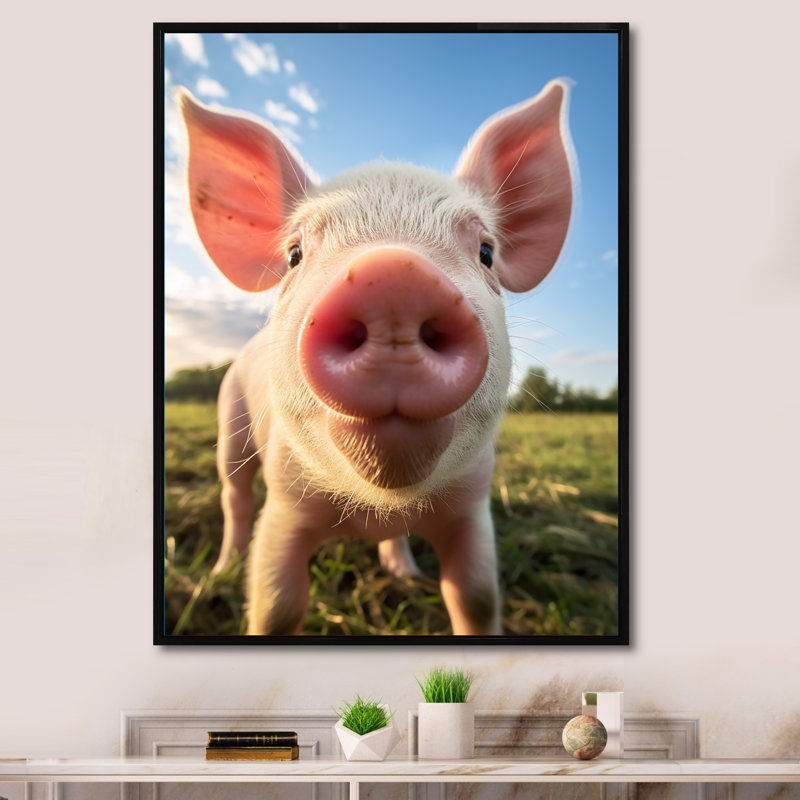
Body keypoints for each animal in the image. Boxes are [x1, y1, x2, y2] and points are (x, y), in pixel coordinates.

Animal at [177, 80, 573, 635]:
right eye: (294, 254)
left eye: (487, 252)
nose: (393, 277)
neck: (372, 508)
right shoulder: (285, 500)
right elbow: (277, 603)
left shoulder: (473, 504)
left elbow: (475, 597)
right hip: (229, 419)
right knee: (234, 496)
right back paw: (221, 570)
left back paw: (406, 575)